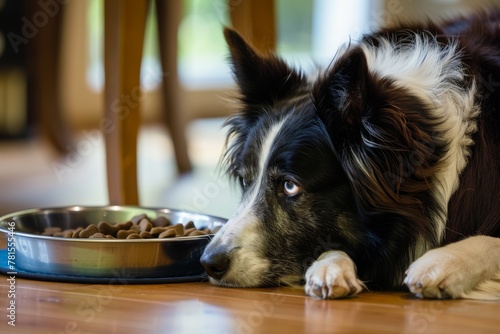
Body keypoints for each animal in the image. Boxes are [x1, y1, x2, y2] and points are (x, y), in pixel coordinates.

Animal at [199, 9, 500, 300]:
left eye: (290, 185)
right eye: (245, 180)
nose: (208, 262)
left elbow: (492, 240)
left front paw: (443, 262)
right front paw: (330, 265)